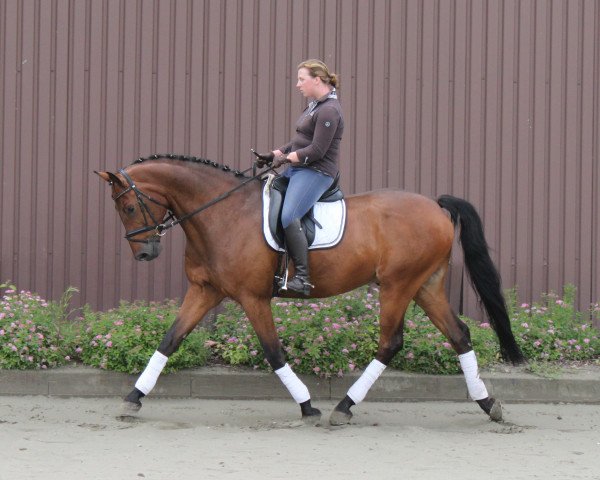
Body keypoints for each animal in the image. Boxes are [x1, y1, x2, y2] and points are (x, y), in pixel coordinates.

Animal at [96, 154, 524, 424]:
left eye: (129, 207)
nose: (145, 252)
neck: (222, 213)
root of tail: (435, 207)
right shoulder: (205, 291)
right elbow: (169, 340)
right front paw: (132, 400)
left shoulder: (253, 298)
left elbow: (273, 351)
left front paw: (307, 406)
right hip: (425, 286)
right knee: (459, 334)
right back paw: (488, 404)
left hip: (398, 285)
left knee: (391, 342)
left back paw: (344, 408)